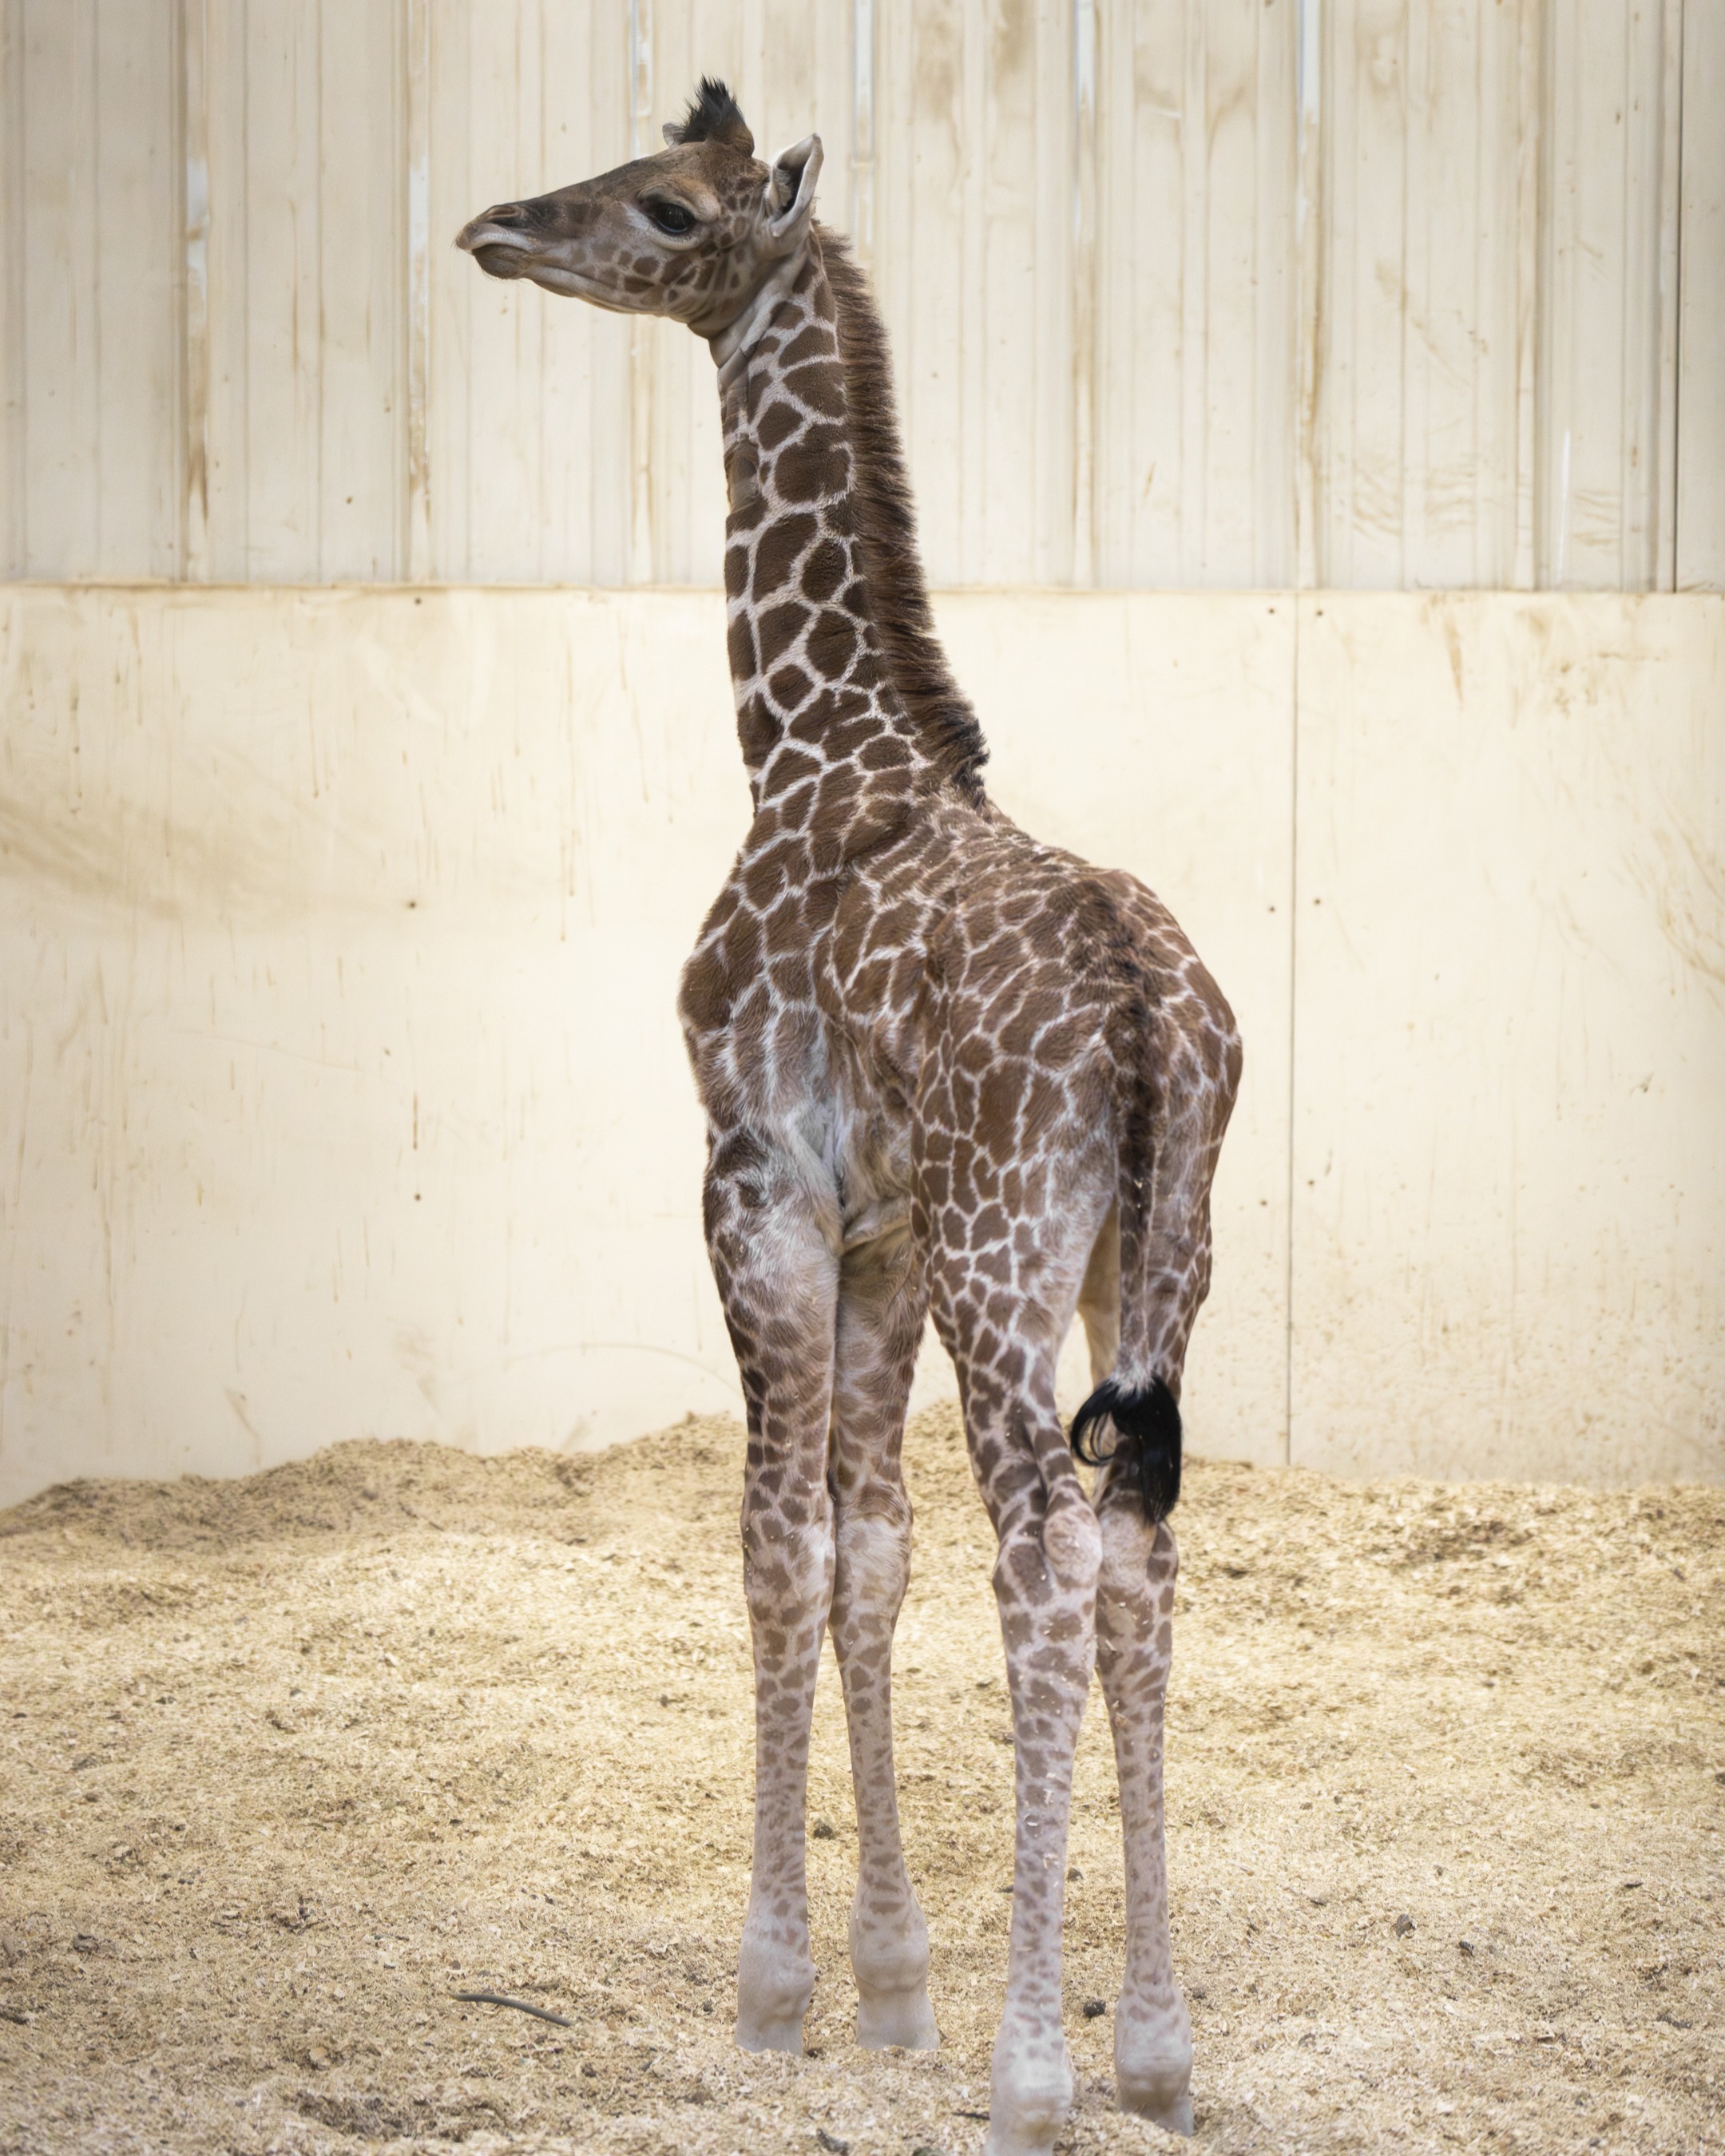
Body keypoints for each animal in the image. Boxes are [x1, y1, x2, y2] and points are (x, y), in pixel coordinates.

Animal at [458, 80, 1240, 2156]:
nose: (499, 229)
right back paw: (1151, 2049)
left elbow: (773, 1550)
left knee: (1045, 1562)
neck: (805, 747)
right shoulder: (879, 1227)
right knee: (1137, 1562)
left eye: (666, 207)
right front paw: (890, 1985)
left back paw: (1039, 2070)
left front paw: (777, 1985)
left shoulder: (759, 1184)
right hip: (1157, 1260)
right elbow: (867, 1556)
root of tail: (1152, 1020)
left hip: (1007, 1255)